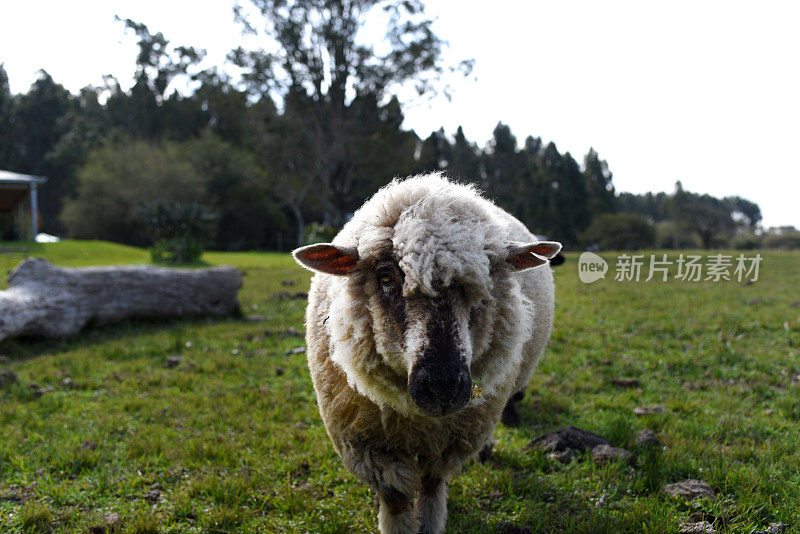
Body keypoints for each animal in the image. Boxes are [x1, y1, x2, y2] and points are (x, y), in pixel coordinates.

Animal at [290, 174, 560, 532]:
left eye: (486, 279)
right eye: (386, 276)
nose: (443, 387)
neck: (418, 421)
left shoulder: (448, 443)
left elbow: (431, 490)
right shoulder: (369, 446)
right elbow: (396, 500)